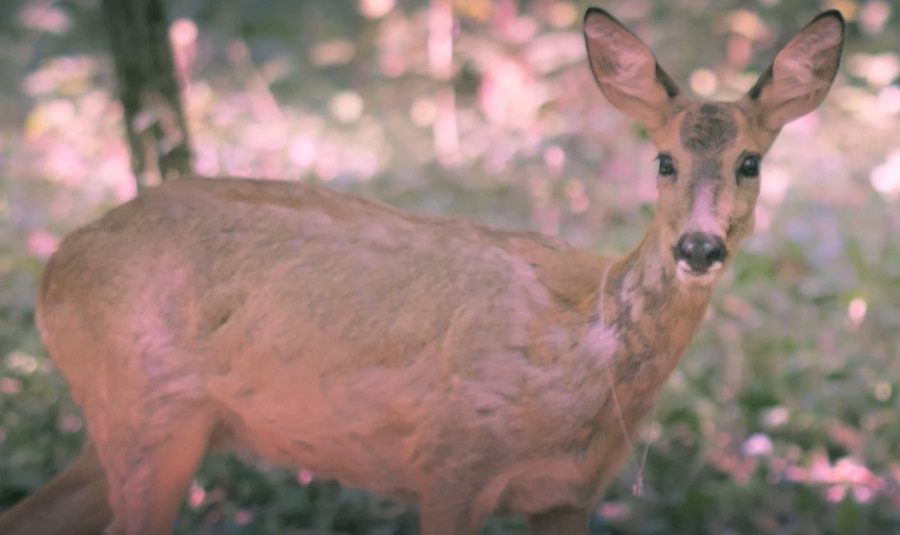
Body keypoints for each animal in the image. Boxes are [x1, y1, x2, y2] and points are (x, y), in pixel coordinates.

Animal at [0, 8, 844, 535]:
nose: (698, 248)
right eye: (664, 159)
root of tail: (55, 267)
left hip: (149, 420)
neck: (578, 357)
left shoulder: (570, 491)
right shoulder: (450, 461)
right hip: (145, 411)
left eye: (750, 162)